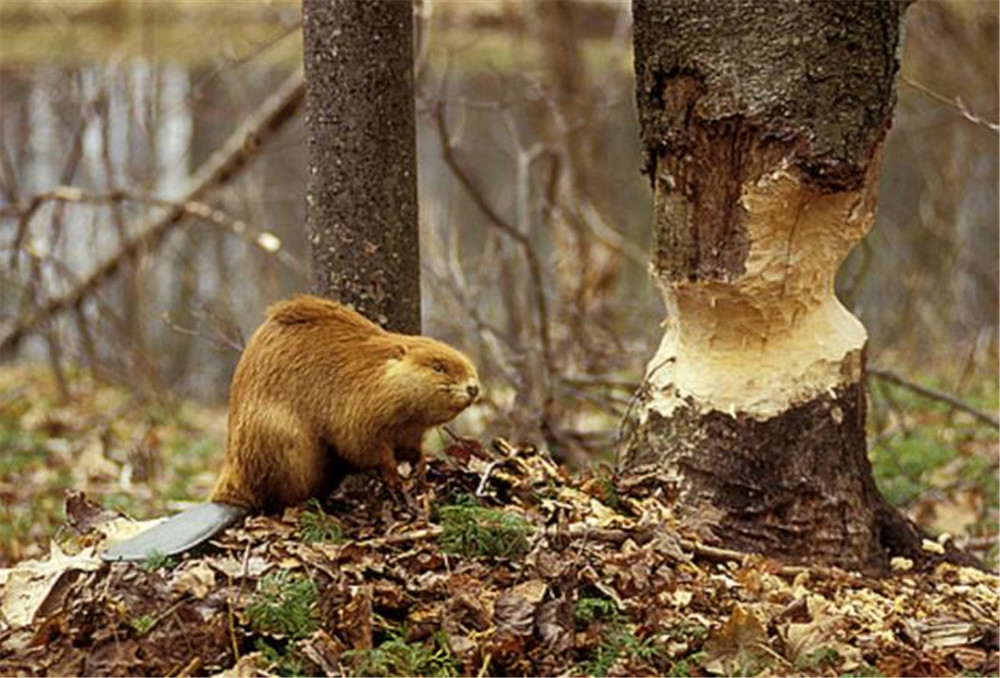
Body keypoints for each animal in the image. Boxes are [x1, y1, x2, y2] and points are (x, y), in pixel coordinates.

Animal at [211, 294, 480, 512]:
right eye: (438, 367)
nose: (473, 387)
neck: (376, 371)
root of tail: (226, 492)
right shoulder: (357, 407)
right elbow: (361, 445)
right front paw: (394, 478)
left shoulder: (409, 430)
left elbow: (411, 450)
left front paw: (421, 470)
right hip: (275, 436)